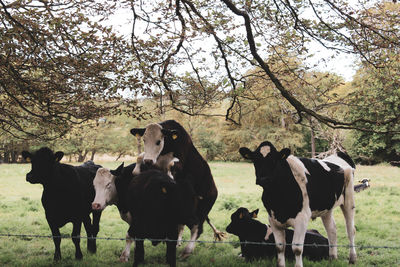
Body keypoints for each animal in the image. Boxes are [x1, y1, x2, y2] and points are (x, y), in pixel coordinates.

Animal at [131, 120, 225, 258]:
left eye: (158, 141)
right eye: (144, 140)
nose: (148, 161)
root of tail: (215, 190)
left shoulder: (177, 162)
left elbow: (172, 164)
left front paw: (170, 176)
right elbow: (139, 157)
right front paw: (137, 170)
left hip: (202, 208)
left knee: (197, 228)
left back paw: (187, 251)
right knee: (181, 224)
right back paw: (177, 242)